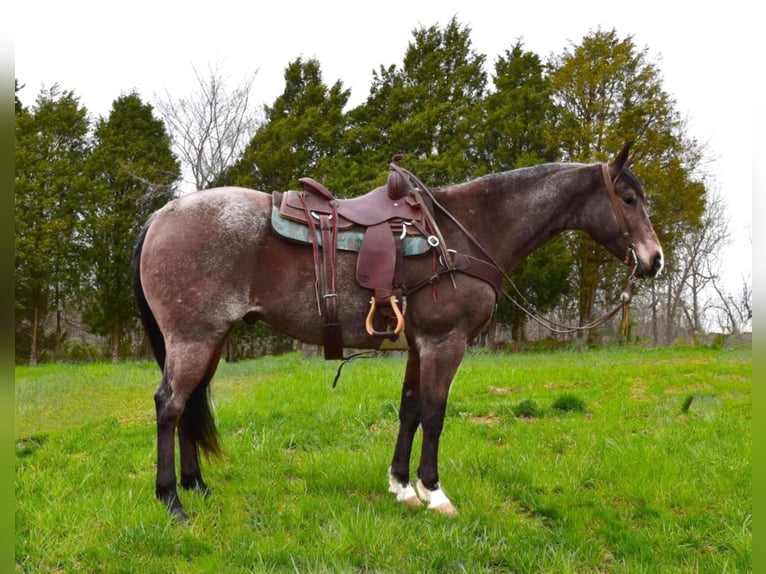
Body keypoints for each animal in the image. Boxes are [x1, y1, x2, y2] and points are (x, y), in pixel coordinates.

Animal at [132, 143, 664, 520]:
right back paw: (172, 501)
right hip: (194, 338)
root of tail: (161, 215)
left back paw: (197, 487)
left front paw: (402, 487)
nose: (655, 260)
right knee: (170, 405)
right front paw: (435, 492)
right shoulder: (445, 344)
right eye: (629, 199)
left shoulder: (417, 346)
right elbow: (434, 414)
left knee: (189, 405)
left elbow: (409, 411)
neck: (462, 233)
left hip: (210, 340)